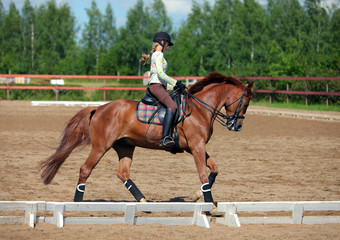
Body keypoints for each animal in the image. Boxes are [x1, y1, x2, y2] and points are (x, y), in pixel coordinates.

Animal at [39, 71, 252, 206]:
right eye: (245, 103)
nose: (237, 126)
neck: (200, 109)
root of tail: (98, 108)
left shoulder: (195, 147)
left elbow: (214, 169)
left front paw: (198, 194)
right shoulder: (196, 146)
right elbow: (203, 175)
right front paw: (209, 204)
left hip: (125, 147)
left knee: (123, 173)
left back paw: (142, 200)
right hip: (101, 146)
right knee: (85, 169)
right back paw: (78, 203)